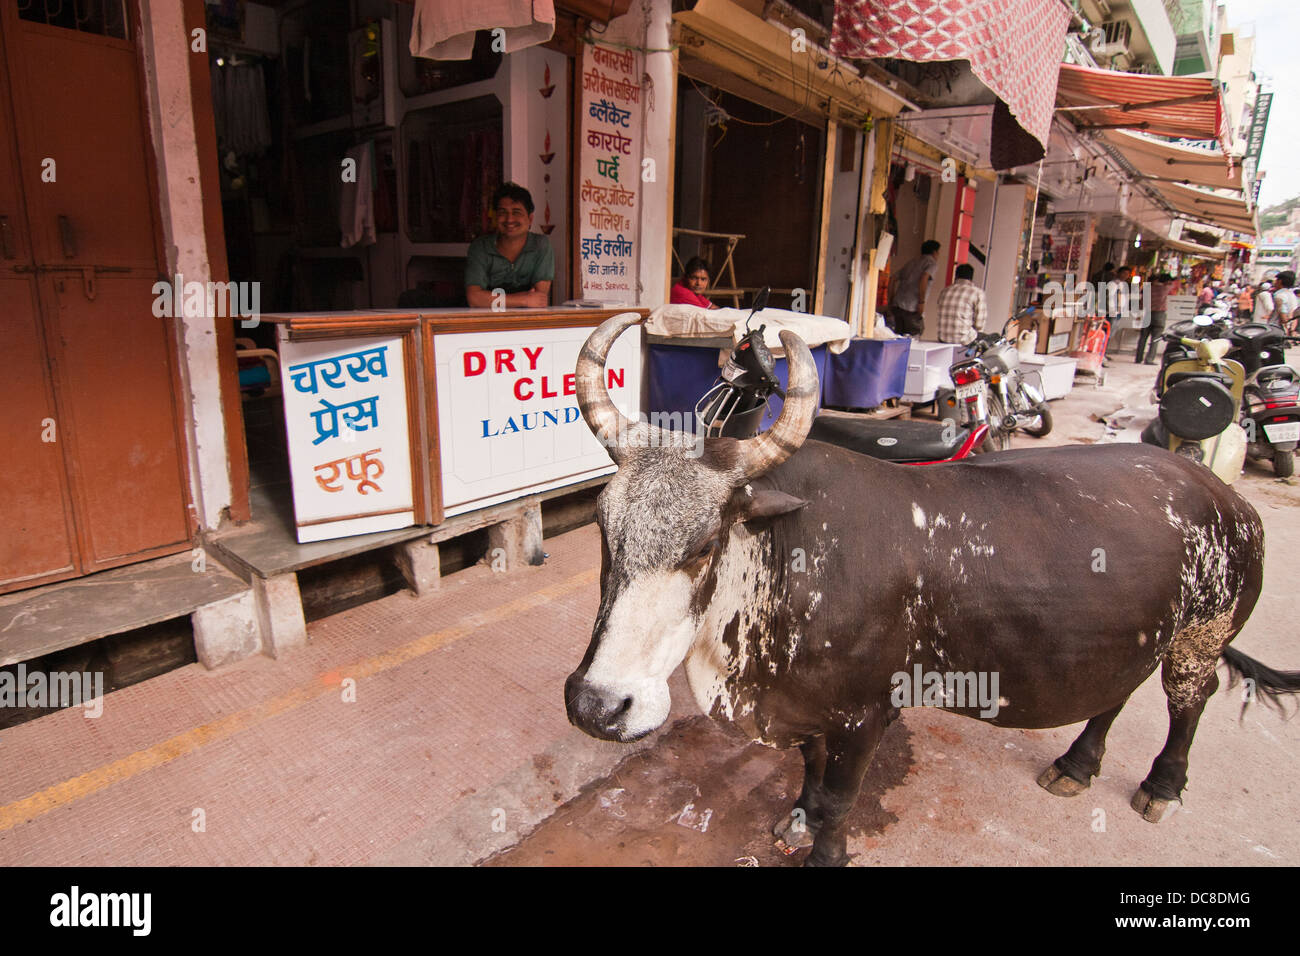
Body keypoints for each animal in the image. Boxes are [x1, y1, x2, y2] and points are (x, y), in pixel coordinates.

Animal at [566, 314, 1300, 868]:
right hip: (1132, 639)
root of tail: (1225, 496)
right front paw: (798, 818)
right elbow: (811, 771)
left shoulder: (868, 714)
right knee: (1115, 695)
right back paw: (1077, 764)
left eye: (703, 546)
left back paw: (1161, 786)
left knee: (1189, 701)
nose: (597, 705)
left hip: (1201, 637)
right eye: (605, 529)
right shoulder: (812, 713)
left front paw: (824, 851)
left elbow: (839, 799)